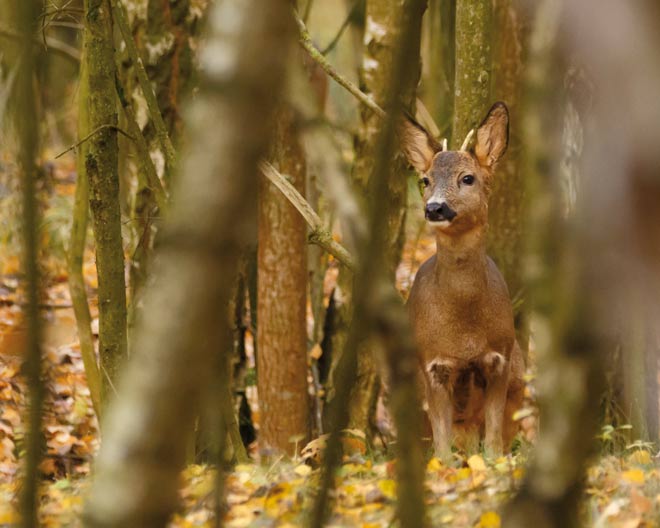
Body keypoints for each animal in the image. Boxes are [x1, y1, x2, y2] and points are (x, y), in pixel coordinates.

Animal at [399, 102, 525, 462]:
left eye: (467, 178)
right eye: (425, 179)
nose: (435, 208)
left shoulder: (500, 357)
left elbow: (494, 441)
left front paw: (492, 465)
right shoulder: (433, 363)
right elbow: (441, 446)